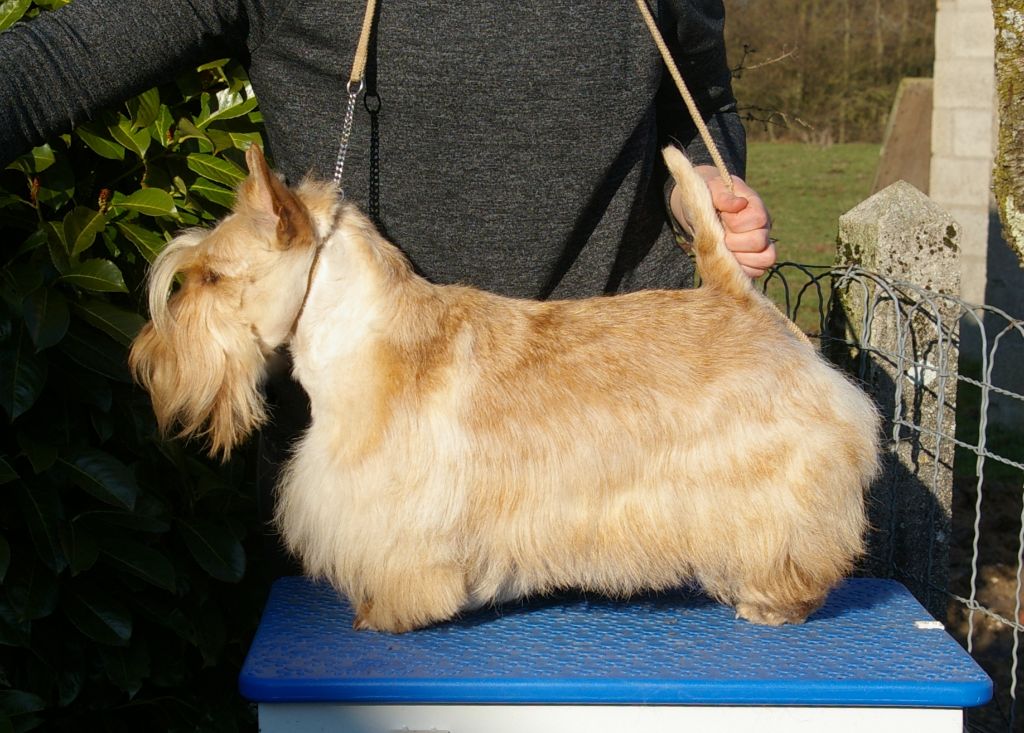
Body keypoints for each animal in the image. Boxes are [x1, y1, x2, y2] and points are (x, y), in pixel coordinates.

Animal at [130, 146, 880, 634]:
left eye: (212, 276)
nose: (145, 359)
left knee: (796, 541)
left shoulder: (394, 508)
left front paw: (382, 615)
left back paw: (776, 600)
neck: (365, 334)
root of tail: (739, 297)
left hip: (773, 474)